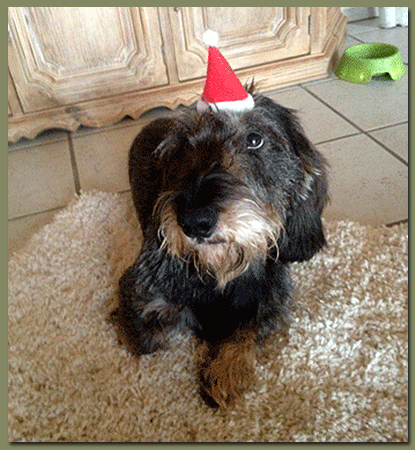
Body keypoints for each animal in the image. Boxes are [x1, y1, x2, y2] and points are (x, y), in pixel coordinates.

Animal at [111, 87, 329, 408]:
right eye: (182, 146)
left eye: (255, 139)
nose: (194, 221)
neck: (218, 269)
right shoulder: (136, 289)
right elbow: (146, 340)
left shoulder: (274, 300)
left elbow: (249, 330)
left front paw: (226, 372)